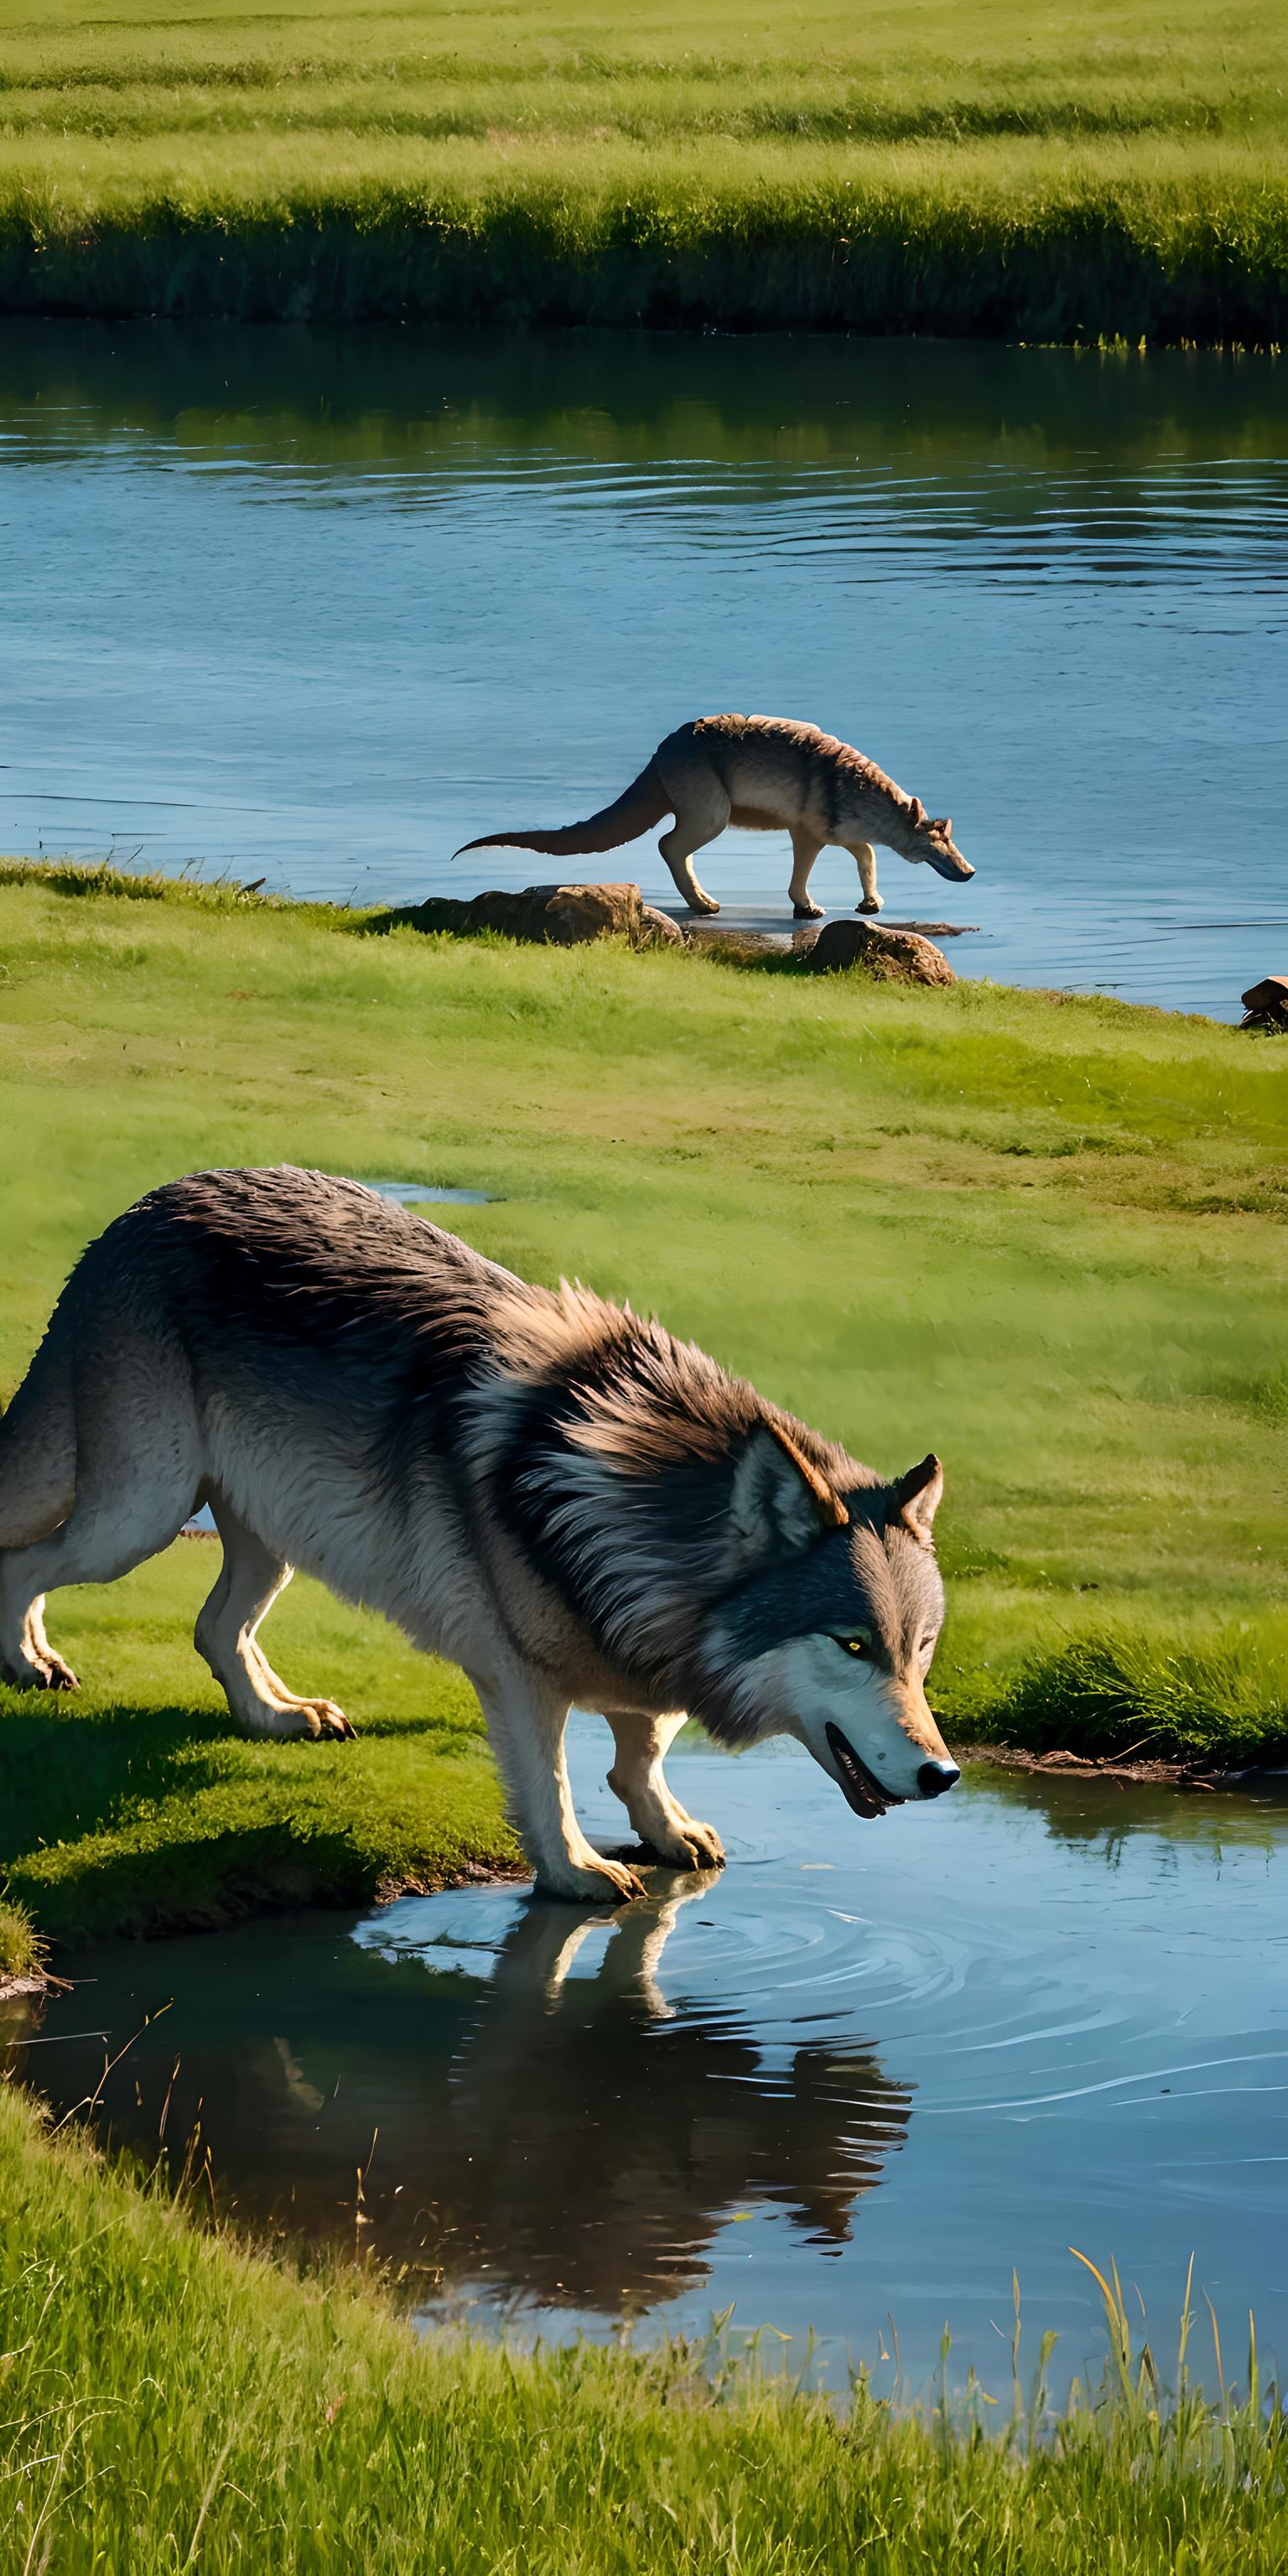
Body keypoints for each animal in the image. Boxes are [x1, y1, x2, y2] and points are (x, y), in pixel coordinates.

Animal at [0, 1169, 963, 1895]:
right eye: (850, 1645)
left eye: (918, 1652)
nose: (943, 1775)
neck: (615, 1508)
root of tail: (141, 1208)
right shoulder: (518, 1675)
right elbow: (554, 1782)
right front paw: (575, 1871)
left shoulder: (637, 1650)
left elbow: (642, 1751)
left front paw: (666, 1828)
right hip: (137, 1517)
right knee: (27, 1562)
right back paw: (31, 1664)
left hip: (272, 1536)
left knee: (214, 1629)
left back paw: (281, 1716)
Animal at [458, 716, 969, 927]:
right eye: (934, 838)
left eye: (950, 834)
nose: (970, 871)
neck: (853, 786)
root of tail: (661, 753)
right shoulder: (807, 831)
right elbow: (805, 874)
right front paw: (808, 909)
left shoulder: (838, 832)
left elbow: (866, 857)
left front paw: (871, 905)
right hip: (711, 813)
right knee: (668, 845)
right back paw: (703, 904)